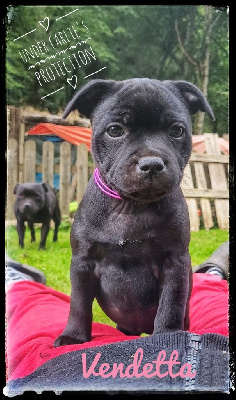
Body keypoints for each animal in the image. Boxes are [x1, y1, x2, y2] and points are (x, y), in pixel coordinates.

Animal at [54, 78, 215, 346]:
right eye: (115, 130)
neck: (130, 206)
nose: (152, 164)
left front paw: (168, 336)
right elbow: (78, 303)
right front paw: (73, 336)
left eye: (177, 131)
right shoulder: (82, 263)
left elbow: (170, 304)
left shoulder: (174, 262)